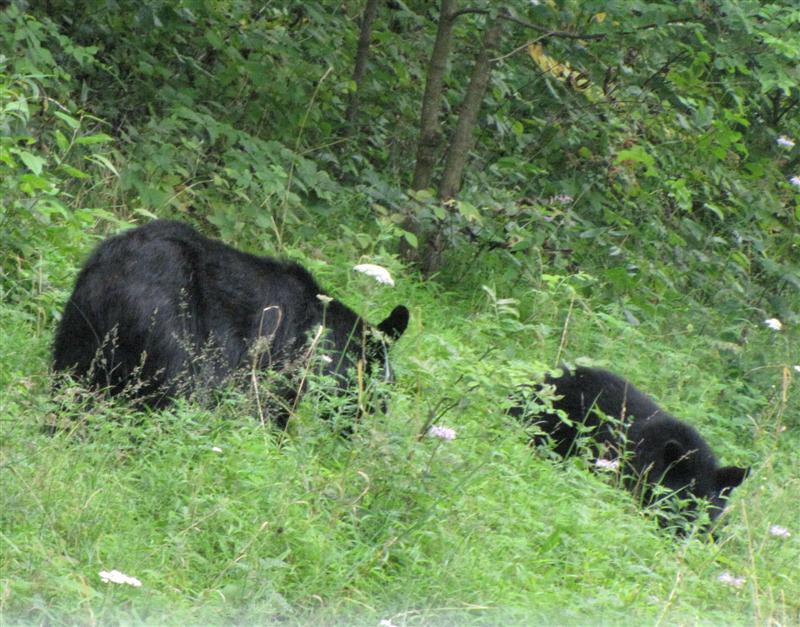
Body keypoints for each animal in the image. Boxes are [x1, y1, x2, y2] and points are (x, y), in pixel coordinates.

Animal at [53, 220, 409, 426]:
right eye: (381, 386)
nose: (375, 415)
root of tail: (109, 274)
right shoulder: (279, 362)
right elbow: (269, 409)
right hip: (167, 326)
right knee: (174, 390)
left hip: (79, 334)